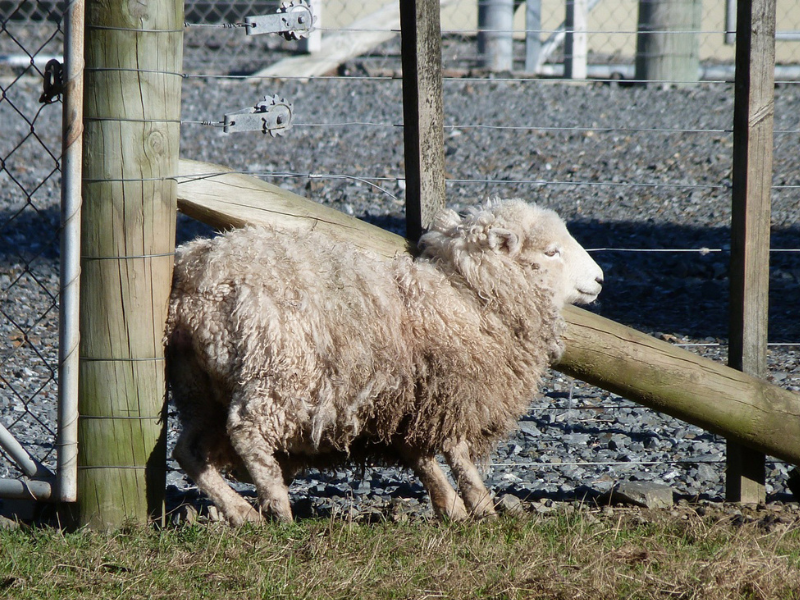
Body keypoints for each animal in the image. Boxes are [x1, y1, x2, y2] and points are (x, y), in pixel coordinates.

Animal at [166, 199, 604, 524]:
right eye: (551, 252)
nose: (600, 279)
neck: (465, 297)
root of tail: (196, 274)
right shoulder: (453, 391)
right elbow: (457, 453)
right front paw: (480, 506)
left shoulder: (410, 401)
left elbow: (421, 456)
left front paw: (452, 507)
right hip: (274, 371)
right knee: (246, 434)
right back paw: (276, 507)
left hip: (196, 384)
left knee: (187, 450)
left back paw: (240, 511)